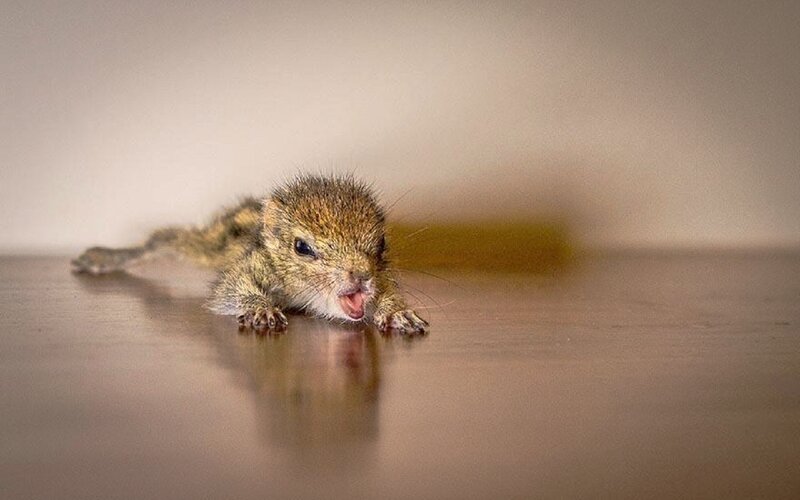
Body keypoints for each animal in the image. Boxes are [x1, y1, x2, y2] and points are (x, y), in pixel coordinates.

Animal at [71, 174, 429, 334]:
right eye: (302, 247)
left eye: (381, 244)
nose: (360, 275)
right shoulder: (249, 267)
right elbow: (231, 289)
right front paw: (261, 309)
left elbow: (389, 293)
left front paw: (398, 313)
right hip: (211, 244)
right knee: (165, 240)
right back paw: (102, 258)